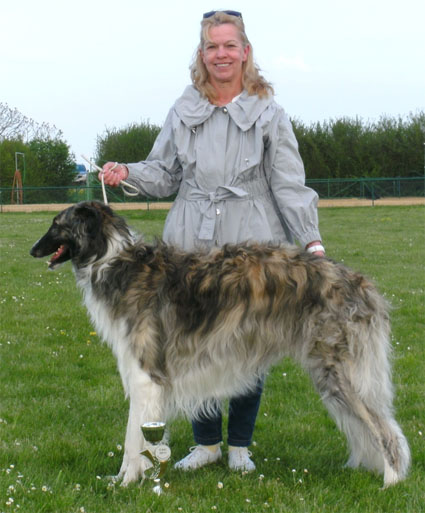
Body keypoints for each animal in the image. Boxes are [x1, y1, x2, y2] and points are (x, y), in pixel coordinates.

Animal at [30, 201, 410, 487]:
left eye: (56, 224)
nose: (32, 250)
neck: (113, 261)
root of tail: (361, 284)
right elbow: (136, 440)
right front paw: (122, 479)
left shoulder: (145, 377)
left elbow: (132, 440)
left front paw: (126, 483)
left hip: (340, 372)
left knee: (385, 430)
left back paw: (390, 480)